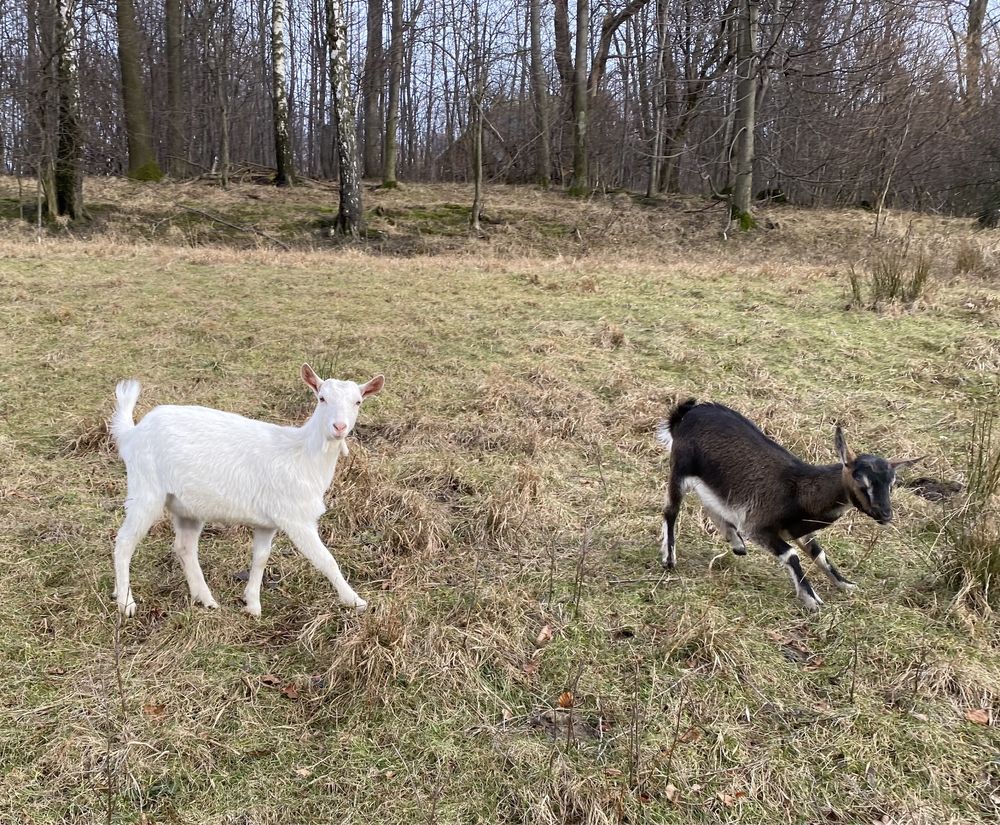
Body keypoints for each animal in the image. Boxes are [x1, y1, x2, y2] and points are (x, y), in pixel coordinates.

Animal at [109, 364, 382, 616]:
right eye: (321, 398)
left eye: (358, 402)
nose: (339, 427)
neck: (303, 455)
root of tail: (132, 434)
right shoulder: (296, 517)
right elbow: (326, 559)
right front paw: (355, 601)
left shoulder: (267, 523)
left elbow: (260, 558)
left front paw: (252, 605)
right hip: (146, 489)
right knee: (124, 542)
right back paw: (126, 603)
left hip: (187, 507)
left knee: (184, 547)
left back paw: (205, 598)